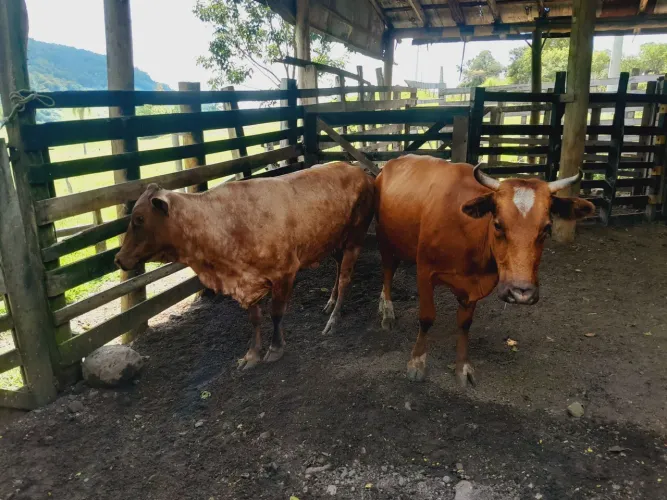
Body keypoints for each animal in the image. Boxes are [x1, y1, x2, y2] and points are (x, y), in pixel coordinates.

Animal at [115, 162, 375, 370]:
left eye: (139, 219)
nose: (118, 258)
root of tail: (357, 169)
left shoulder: (284, 273)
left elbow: (276, 313)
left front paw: (275, 349)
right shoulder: (248, 282)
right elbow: (255, 318)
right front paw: (251, 355)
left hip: (355, 237)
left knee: (346, 278)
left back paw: (333, 319)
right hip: (335, 241)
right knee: (339, 269)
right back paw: (330, 302)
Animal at [374, 155, 595, 387]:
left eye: (546, 228)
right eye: (498, 224)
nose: (521, 293)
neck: (469, 233)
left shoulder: (475, 284)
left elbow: (465, 323)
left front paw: (463, 366)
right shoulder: (425, 271)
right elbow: (426, 318)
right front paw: (417, 362)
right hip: (385, 240)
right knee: (388, 272)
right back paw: (387, 310)